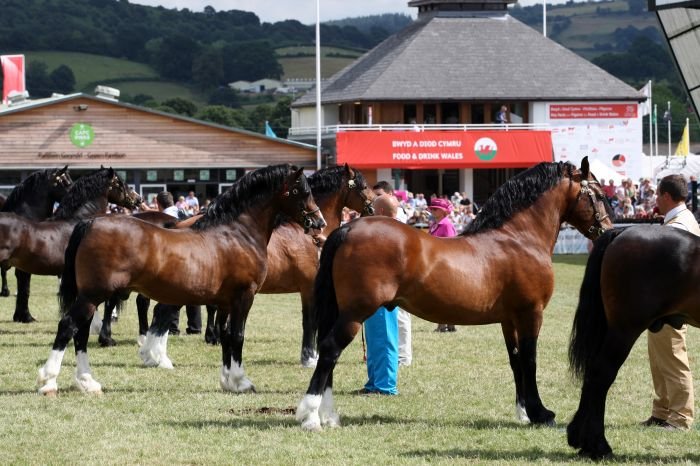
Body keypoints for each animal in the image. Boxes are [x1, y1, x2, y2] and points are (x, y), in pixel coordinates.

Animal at [37, 164, 326, 395]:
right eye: (302, 190)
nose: (319, 222)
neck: (236, 234)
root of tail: (90, 224)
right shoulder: (244, 297)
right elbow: (238, 336)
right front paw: (242, 381)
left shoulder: (225, 302)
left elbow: (225, 335)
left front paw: (228, 381)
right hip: (93, 295)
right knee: (68, 326)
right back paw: (48, 381)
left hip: (90, 296)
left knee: (82, 333)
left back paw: (87, 382)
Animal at [295, 157, 614, 431]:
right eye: (598, 193)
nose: (608, 230)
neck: (518, 238)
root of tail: (348, 229)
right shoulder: (530, 314)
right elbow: (530, 360)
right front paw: (540, 413)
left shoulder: (509, 320)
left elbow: (516, 362)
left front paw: (523, 412)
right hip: (355, 312)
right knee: (329, 349)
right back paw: (310, 416)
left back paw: (328, 416)